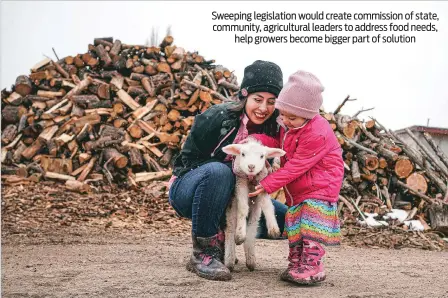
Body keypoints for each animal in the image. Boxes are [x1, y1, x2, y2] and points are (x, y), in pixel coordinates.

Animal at [222, 136, 286, 272]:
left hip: (255, 211)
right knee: (230, 229)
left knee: (252, 228)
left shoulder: (262, 183)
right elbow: (243, 208)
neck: (251, 178)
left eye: (262, 156)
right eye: (242, 154)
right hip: (231, 207)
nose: (251, 166)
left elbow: (267, 205)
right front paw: (240, 234)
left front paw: (274, 229)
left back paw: (250, 260)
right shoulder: (240, 183)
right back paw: (230, 259)